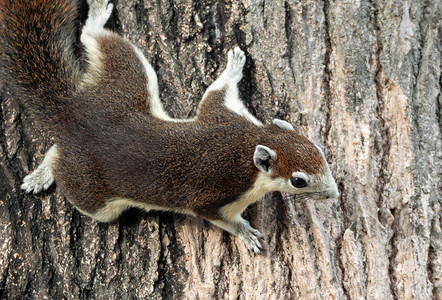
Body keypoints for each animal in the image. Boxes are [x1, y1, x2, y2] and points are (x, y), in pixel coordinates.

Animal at [0, 0, 338, 253]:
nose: (334, 195)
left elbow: (215, 93)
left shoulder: (224, 115)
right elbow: (224, 220)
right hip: (90, 192)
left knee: (95, 41)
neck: (247, 139)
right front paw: (247, 234)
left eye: (319, 152)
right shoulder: (215, 196)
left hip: (126, 81)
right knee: (63, 162)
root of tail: (73, 113)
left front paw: (233, 64)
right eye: (298, 181)